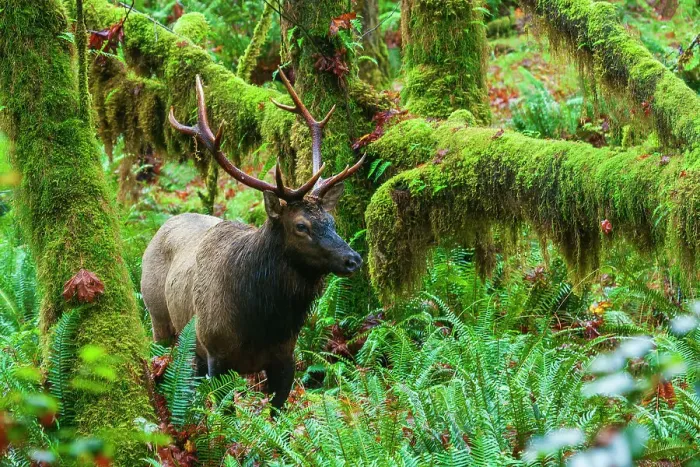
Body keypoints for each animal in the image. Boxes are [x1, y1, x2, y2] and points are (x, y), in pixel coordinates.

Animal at [140, 69, 364, 410]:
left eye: (332, 221)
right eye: (301, 226)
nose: (353, 259)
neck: (261, 323)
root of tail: (164, 225)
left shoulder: (285, 358)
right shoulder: (216, 354)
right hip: (159, 319)